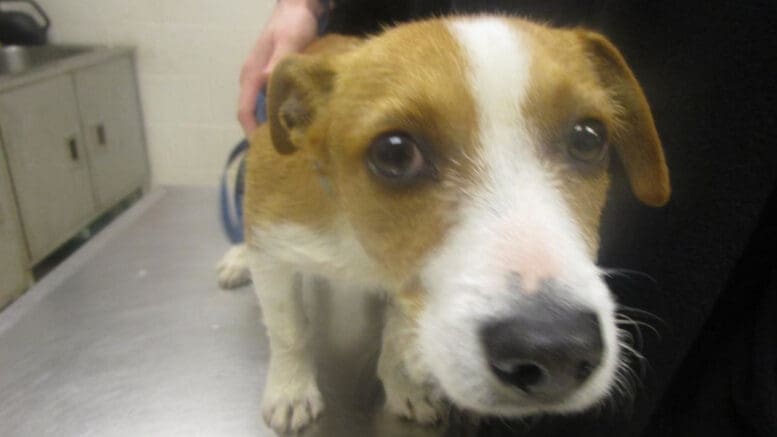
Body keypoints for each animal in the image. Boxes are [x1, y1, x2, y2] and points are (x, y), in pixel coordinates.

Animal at [217, 13, 668, 432]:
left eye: (588, 138)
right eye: (394, 153)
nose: (554, 350)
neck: (354, 231)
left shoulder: (406, 283)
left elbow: (396, 339)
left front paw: (404, 387)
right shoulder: (273, 252)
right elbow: (289, 332)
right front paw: (291, 390)